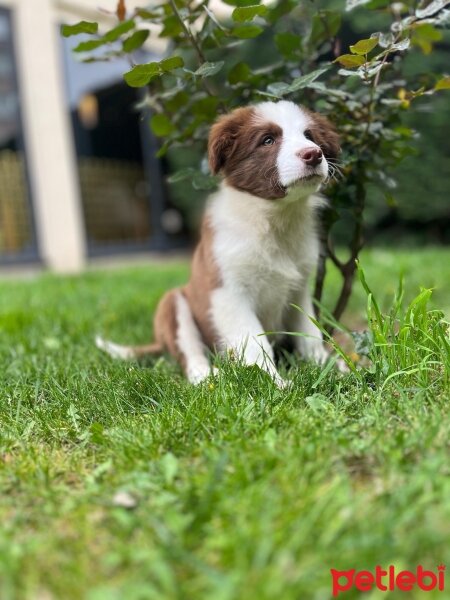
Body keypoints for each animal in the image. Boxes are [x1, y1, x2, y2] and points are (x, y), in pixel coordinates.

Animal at [96, 101, 340, 386]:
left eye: (309, 135)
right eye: (267, 140)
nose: (314, 154)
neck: (274, 219)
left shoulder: (299, 289)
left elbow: (309, 333)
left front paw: (331, 368)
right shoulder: (228, 292)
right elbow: (255, 343)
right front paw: (274, 382)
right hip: (173, 304)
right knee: (190, 356)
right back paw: (208, 377)